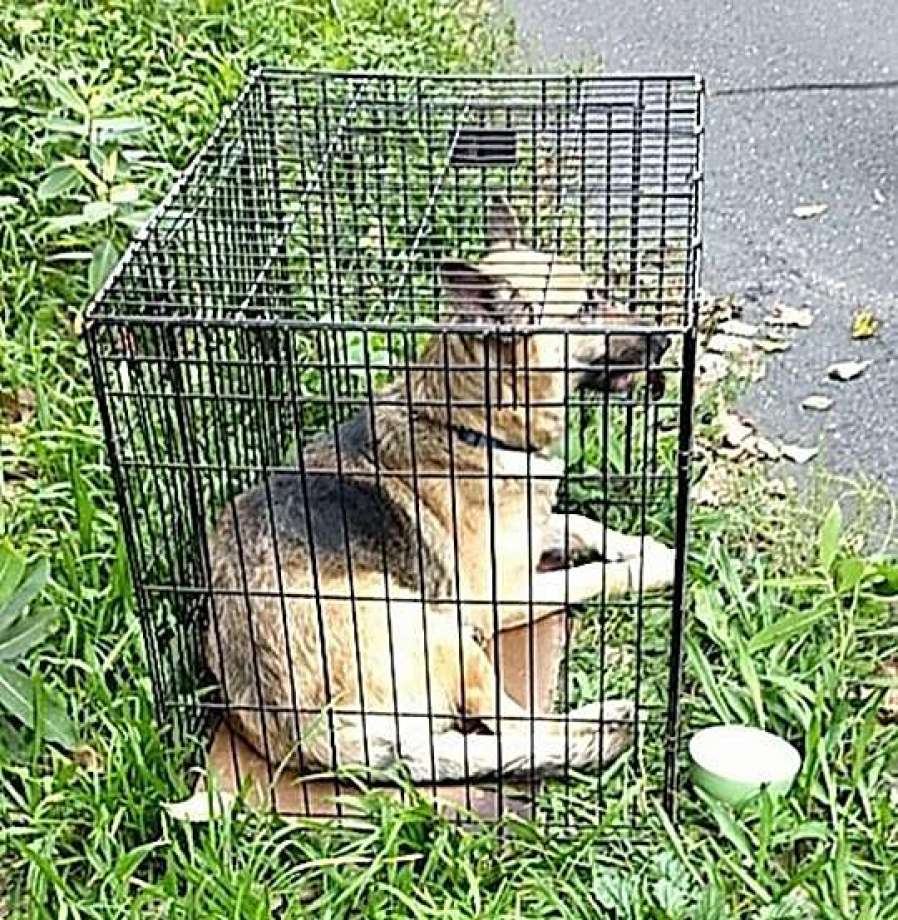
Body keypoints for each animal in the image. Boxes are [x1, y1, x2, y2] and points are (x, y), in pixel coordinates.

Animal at [205, 196, 672, 784]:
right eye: (587, 304)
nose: (667, 336)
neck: (470, 424)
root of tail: (310, 736)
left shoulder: (534, 529)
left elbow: (583, 523)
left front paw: (644, 546)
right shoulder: (503, 596)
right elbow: (590, 577)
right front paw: (651, 567)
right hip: (444, 632)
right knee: (515, 728)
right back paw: (600, 723)